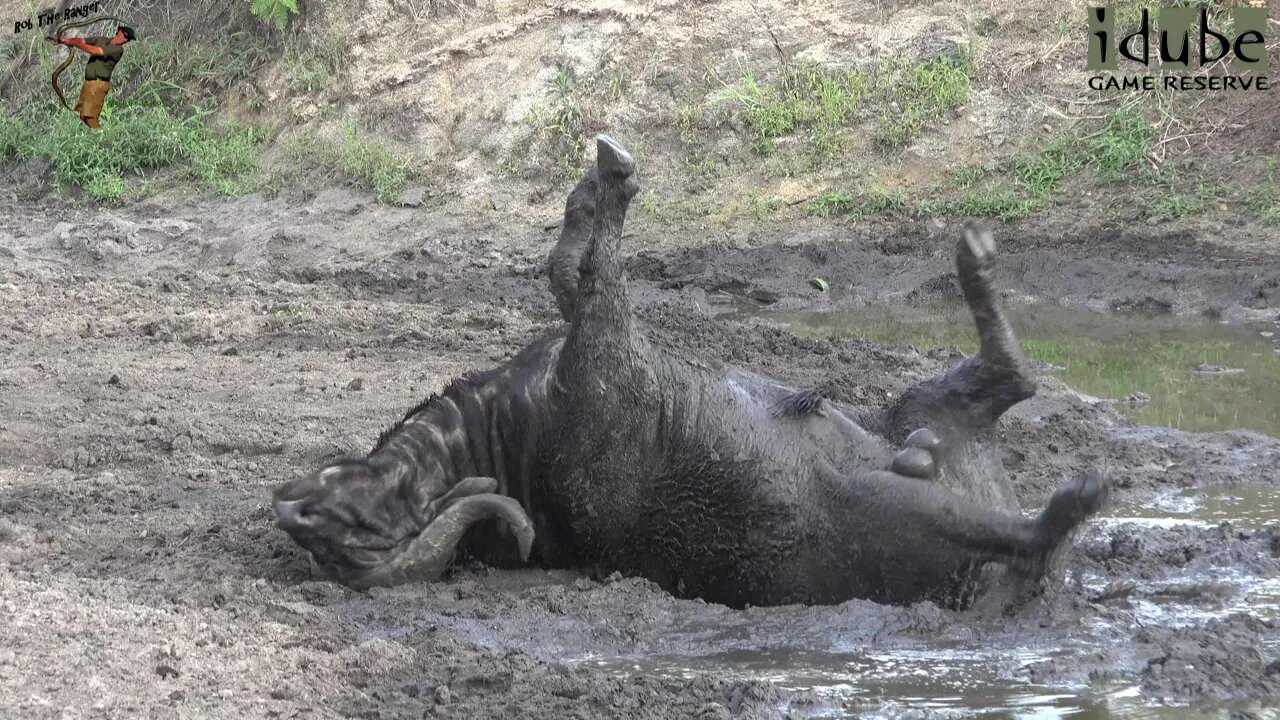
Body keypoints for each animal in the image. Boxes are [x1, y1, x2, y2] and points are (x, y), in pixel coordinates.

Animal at [272, 133, 1111, 604]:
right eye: (348, 531)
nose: (290, 506)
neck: (505, 441)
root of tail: (982, 584)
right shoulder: (602, 347)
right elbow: (591, 273)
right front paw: (611, 185)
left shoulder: (577, 341)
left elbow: (568, 270)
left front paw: (591, 192)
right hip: (895, 506)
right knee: (1024, 524)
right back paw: (1070, 503)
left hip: (918, 406)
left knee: (1009, 381)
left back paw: (976, 268)